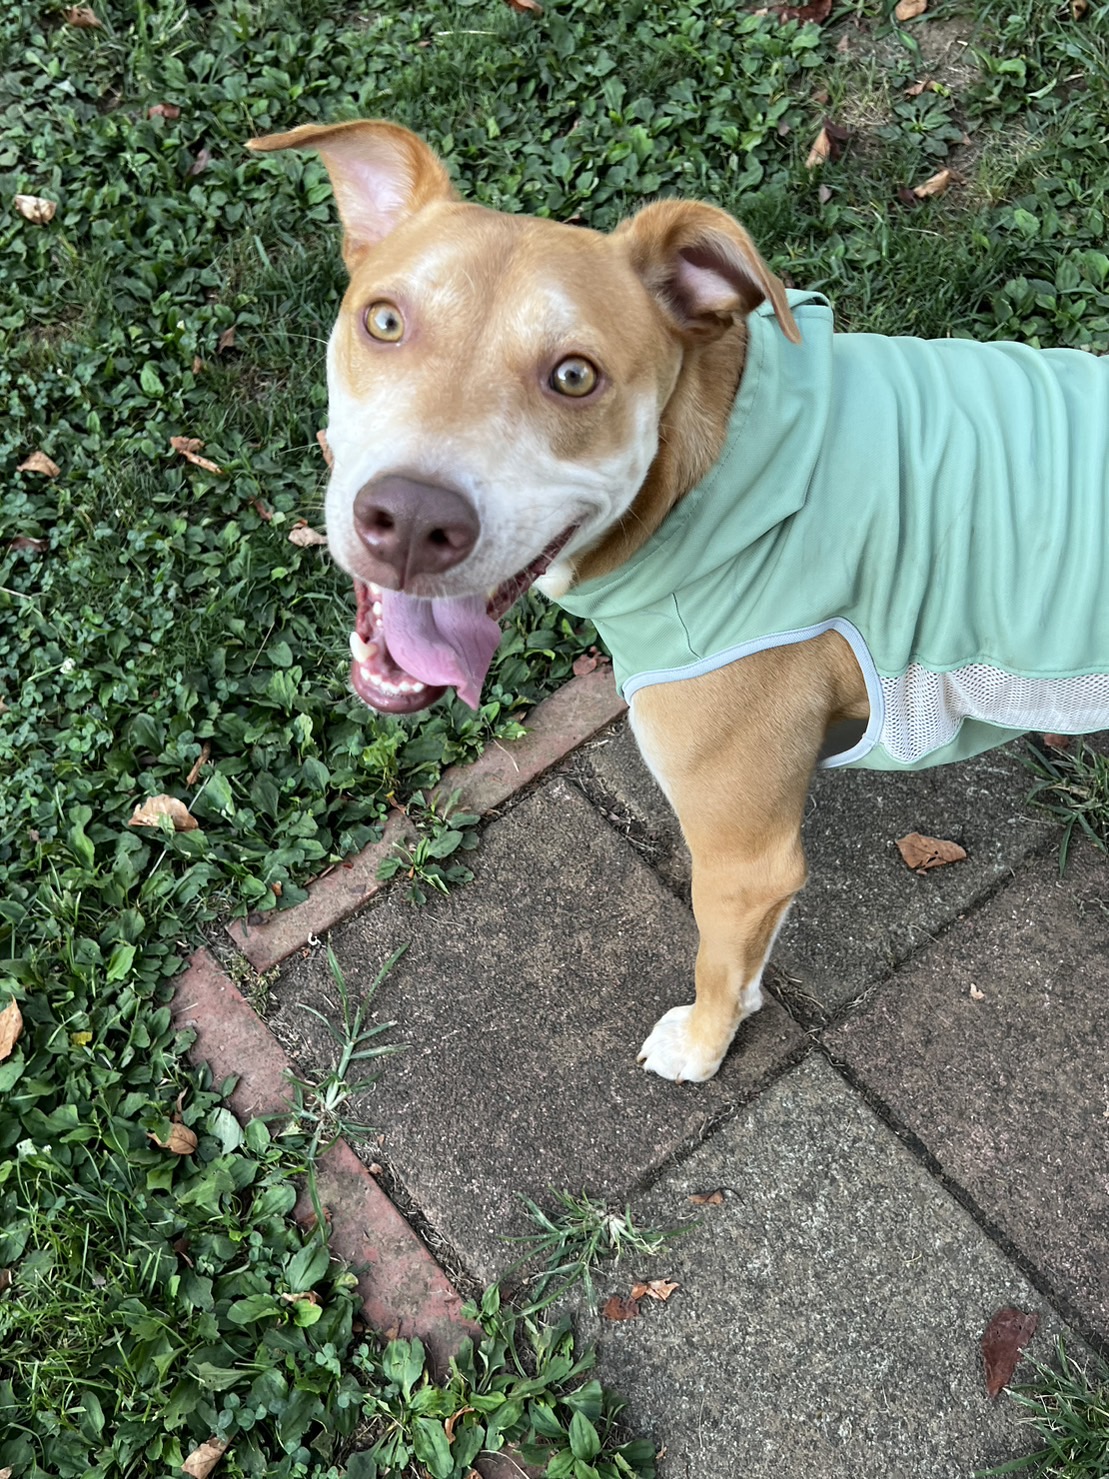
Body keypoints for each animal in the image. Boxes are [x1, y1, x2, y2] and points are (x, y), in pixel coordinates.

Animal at [248, 119, 1109, 1083]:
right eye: (385, 320)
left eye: (575, 376)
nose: (409, 520)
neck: (706, 475)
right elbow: (749, 958)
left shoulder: (742, 854)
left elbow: (714, 960)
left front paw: (701, 1046)